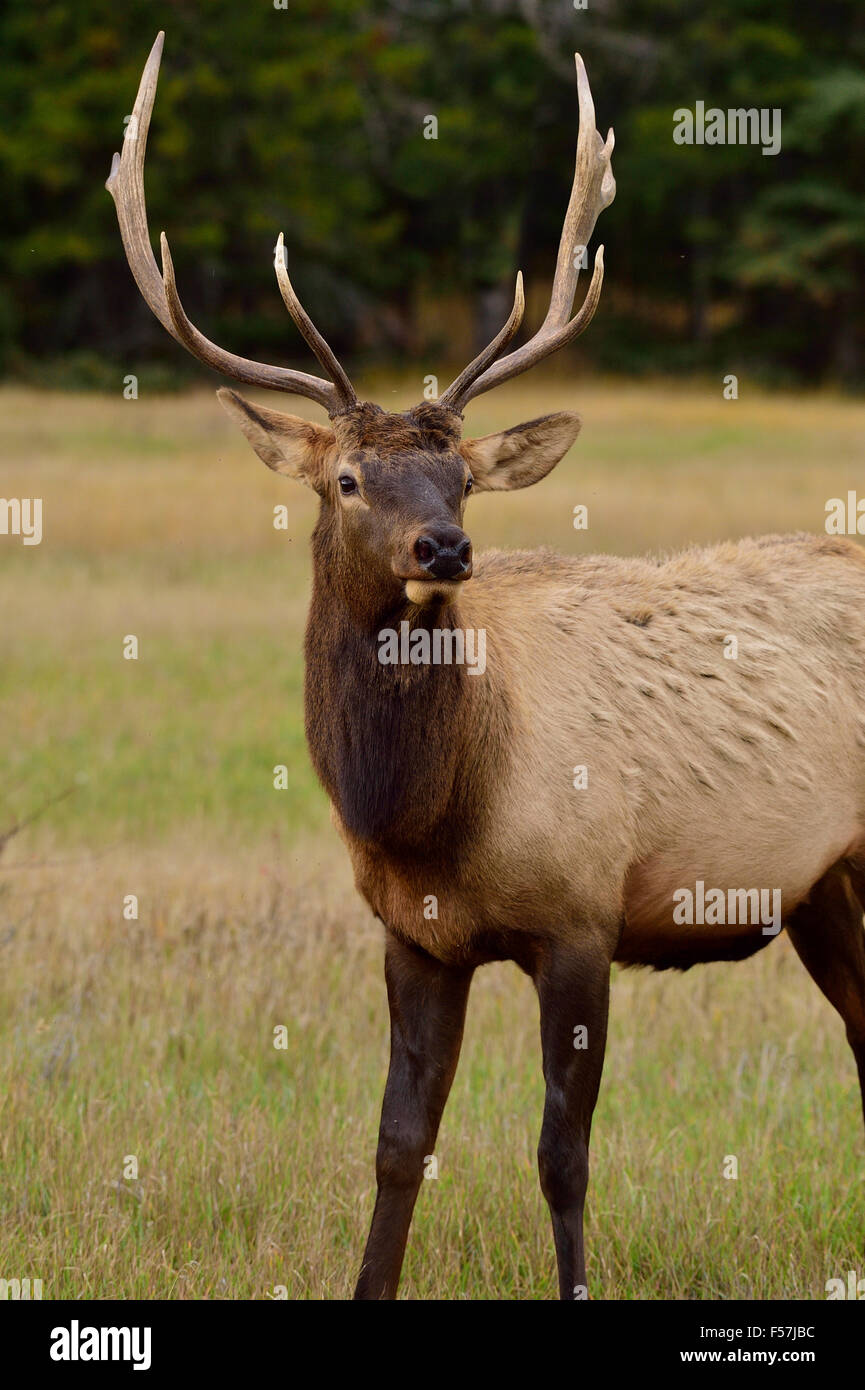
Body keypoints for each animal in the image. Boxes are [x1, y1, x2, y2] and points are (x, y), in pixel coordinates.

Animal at [109, 32, 865, 1295]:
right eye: (347, 478)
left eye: (462, 479)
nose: (446, 548)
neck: (430, 809)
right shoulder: (413, 935)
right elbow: (396, 1144)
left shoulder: (581, 915)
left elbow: (562, 1156)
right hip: (822, 888)